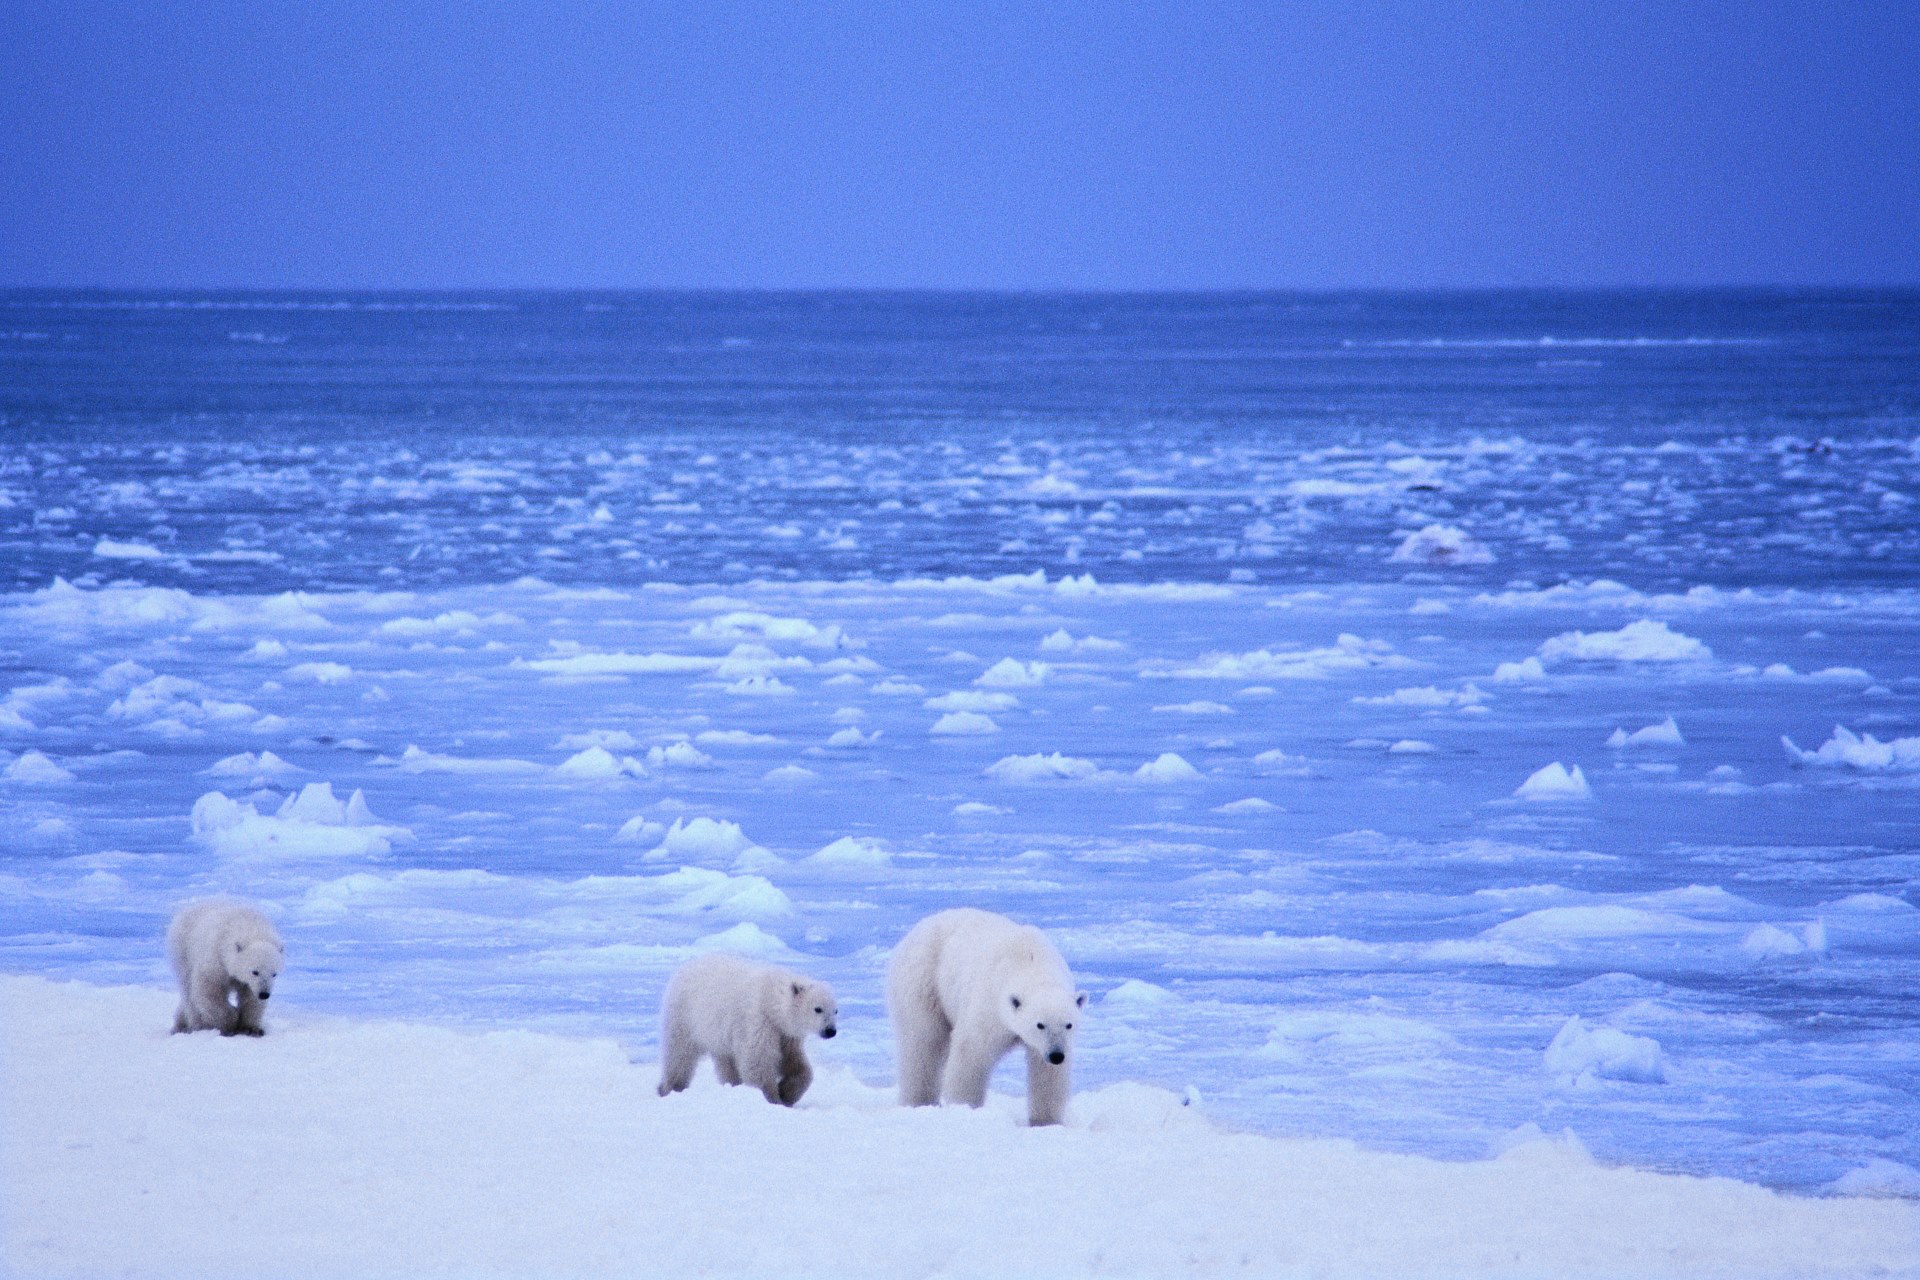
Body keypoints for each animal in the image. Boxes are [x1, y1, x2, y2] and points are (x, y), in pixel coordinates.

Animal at [168, 898, 282, 1036]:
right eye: (255, 972)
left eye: (274, 974)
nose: (264, 994)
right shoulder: (216, 960)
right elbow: (209, 991)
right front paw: (231, 1021)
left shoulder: (247, 982)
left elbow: (250, 998)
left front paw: (251, 1028)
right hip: (183, 952)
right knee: (188, 992)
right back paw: (196, 1025)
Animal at [656, 955, 837, 1105]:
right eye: (818, 1009)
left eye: (836, 1011)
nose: (831, 1031)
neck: (770, 999)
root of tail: (684, 968)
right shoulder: (758, 1022)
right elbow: (758, 1062)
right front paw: (772, 1099)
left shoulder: (785, 1034)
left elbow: (795, 1063)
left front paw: (786, 1093)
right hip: (684, 1017)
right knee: (679, 1055)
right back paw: (669, 1088)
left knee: (725, 1062)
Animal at [890, 905, 1090, 1128]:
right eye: (1040, 1025)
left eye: (1069, 1025)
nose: (1056, 1055)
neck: (1031, 963)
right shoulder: (989, 1008)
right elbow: (971, 1054)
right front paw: (965, 1108)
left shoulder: (1047, 1045)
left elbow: (1046, 1074)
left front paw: (1045, 1122)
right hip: (924, 982)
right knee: (923, 1043)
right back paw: (919, 1102)